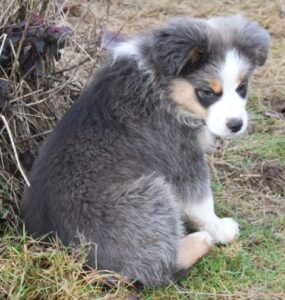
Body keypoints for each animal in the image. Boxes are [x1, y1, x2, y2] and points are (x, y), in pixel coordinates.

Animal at [20, 15, 268, 288]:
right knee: (157, 271)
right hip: (153, 195)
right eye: (207, 92)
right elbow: (202, 202)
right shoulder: (182, 157)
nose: (236, 125)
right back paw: (200, 240)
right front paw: (220, 228)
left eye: (242, 87)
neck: (162, 83)